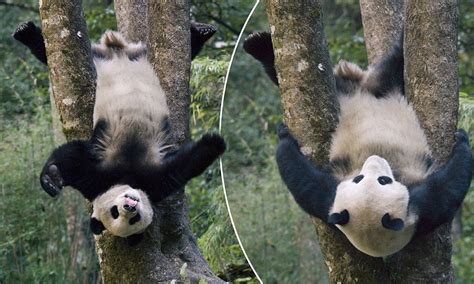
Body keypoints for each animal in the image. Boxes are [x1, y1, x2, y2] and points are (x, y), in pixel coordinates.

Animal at [12, 21, 224, 244]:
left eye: (133, 218)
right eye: (116, 213)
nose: (130, 206)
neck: (128, 176)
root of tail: (119, 51)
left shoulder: (151, 181)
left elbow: (186, 164)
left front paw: (215, 142)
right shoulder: (104, 177)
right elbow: (73, 157)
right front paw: (52, 179)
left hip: (122, 57)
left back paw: (201, 31)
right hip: (100, 58)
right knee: (44, 50)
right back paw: (25, 33)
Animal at [243, 31, 472, 258]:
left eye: (382, 180)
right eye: (361, 179)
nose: (375, 158)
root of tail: (361, 88)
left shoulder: (418, 211)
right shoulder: (334, 199)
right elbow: (448, 190)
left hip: (380, 89)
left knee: (396, 61)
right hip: (352, 92)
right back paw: (258, 44)